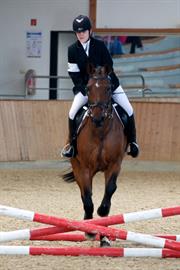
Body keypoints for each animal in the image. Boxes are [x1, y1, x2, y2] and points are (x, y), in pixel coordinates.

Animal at [62, 64, 127, 246]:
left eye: (108, 88)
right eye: (88, 88)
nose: (97, 117)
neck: (100, 131)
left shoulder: (114, 164)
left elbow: (110, 190)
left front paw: (102, 221)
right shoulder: (84, 168)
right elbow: (87, 196)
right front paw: (90, 230)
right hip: (78, 167)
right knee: (85, 194)